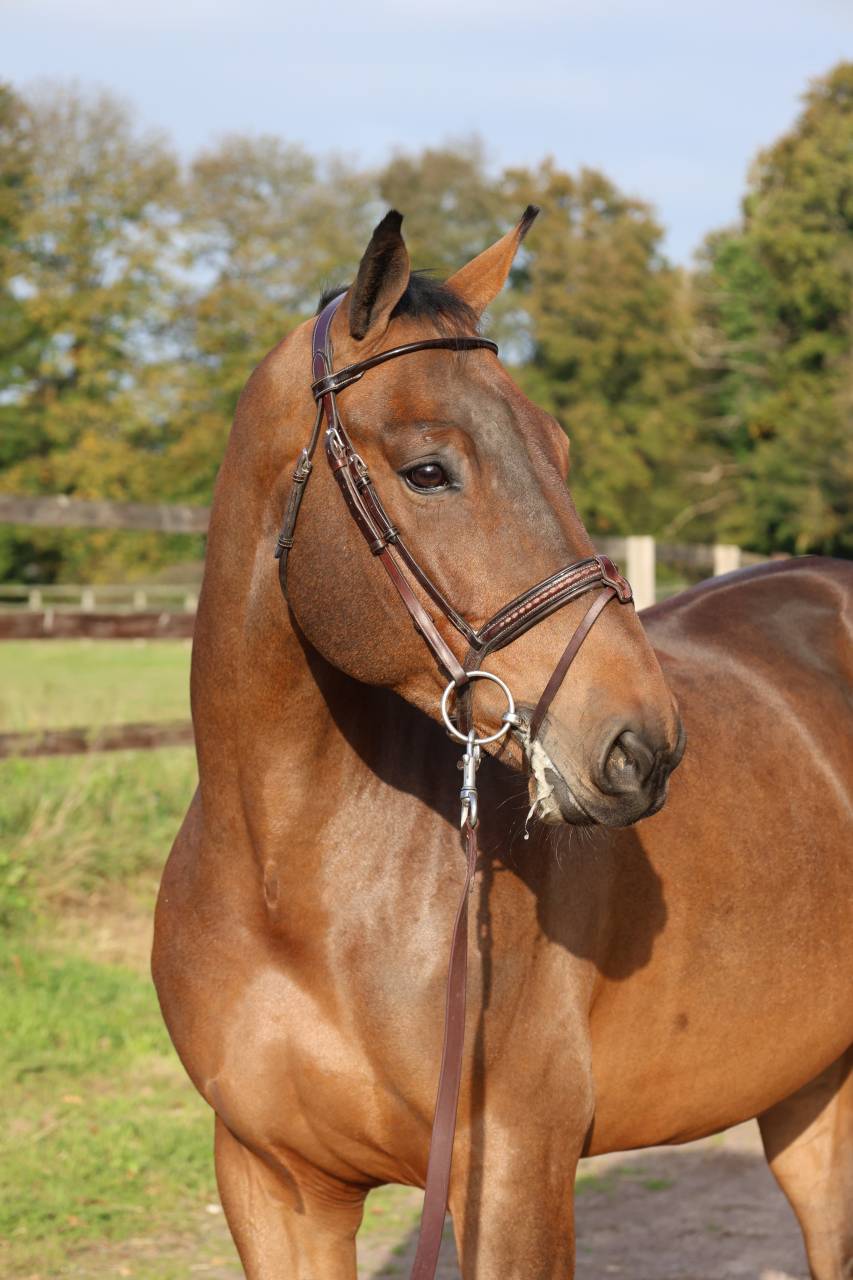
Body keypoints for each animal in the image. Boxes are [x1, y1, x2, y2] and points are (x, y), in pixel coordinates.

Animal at [153, 208, 853, 1279]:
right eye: (427, 471)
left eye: (556, 446)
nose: (639, 745)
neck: (287, 883)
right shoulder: (274, 1186)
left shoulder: (514, 1174)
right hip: (810, 1092)